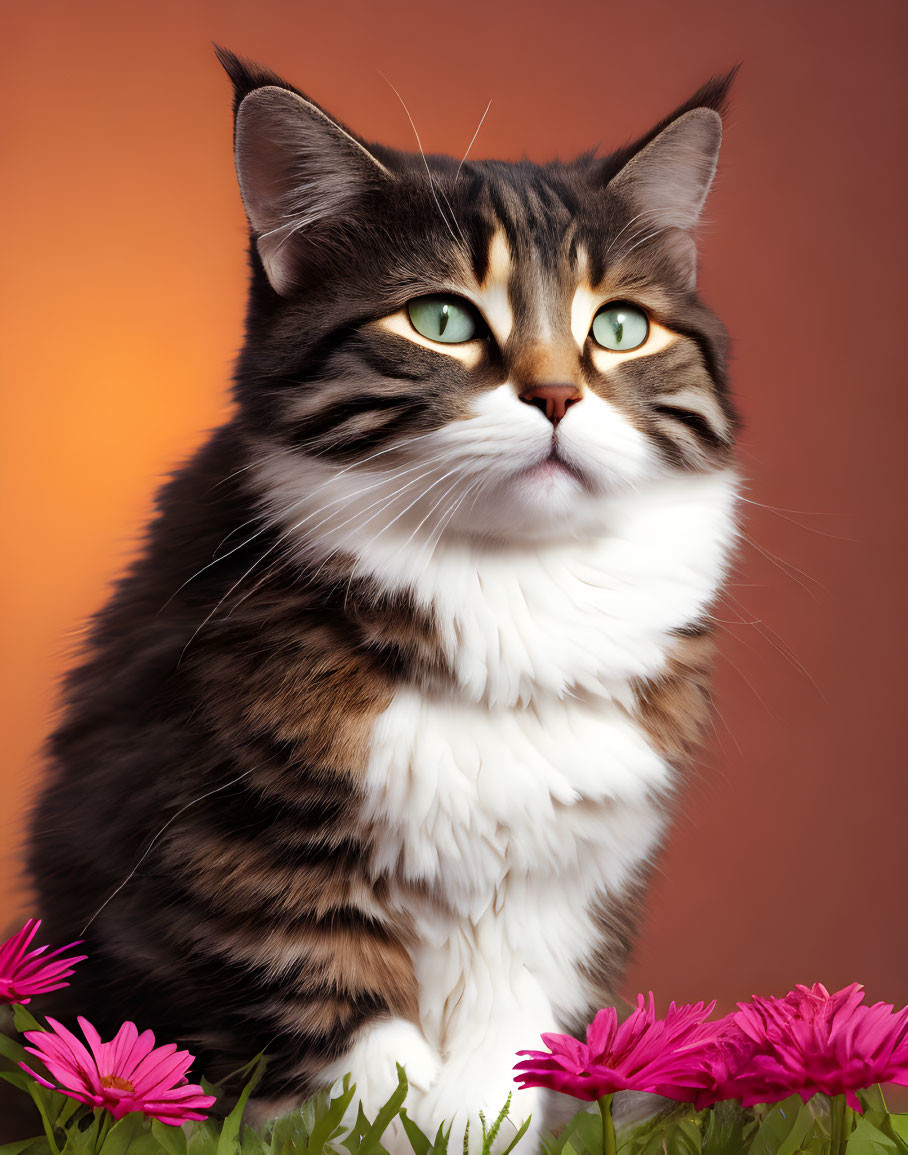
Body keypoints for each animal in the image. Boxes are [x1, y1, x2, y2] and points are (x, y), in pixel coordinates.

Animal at [14, 49, 734, 1150]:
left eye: (617, 327)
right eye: (439, 321)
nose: (558, 395)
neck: (507, 595)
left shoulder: (557, 896)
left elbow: (495, 1076)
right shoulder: (240, 869)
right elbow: (363, 1071)